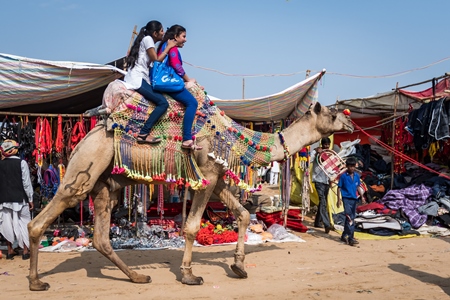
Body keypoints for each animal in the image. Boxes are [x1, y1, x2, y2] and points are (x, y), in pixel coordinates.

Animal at [27, 82, 356, 290]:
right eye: (332, 113)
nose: (351, 125)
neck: (234, 138)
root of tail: (86, 135)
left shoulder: (218, 176)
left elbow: (243, 214)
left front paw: (239, 267)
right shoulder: (206, 174)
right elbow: (192, 227)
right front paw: (189, 275)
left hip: (106, 183)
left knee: (101, 238)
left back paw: (137, 278)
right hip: (87, 166)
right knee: (47, 214)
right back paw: (36, 281)